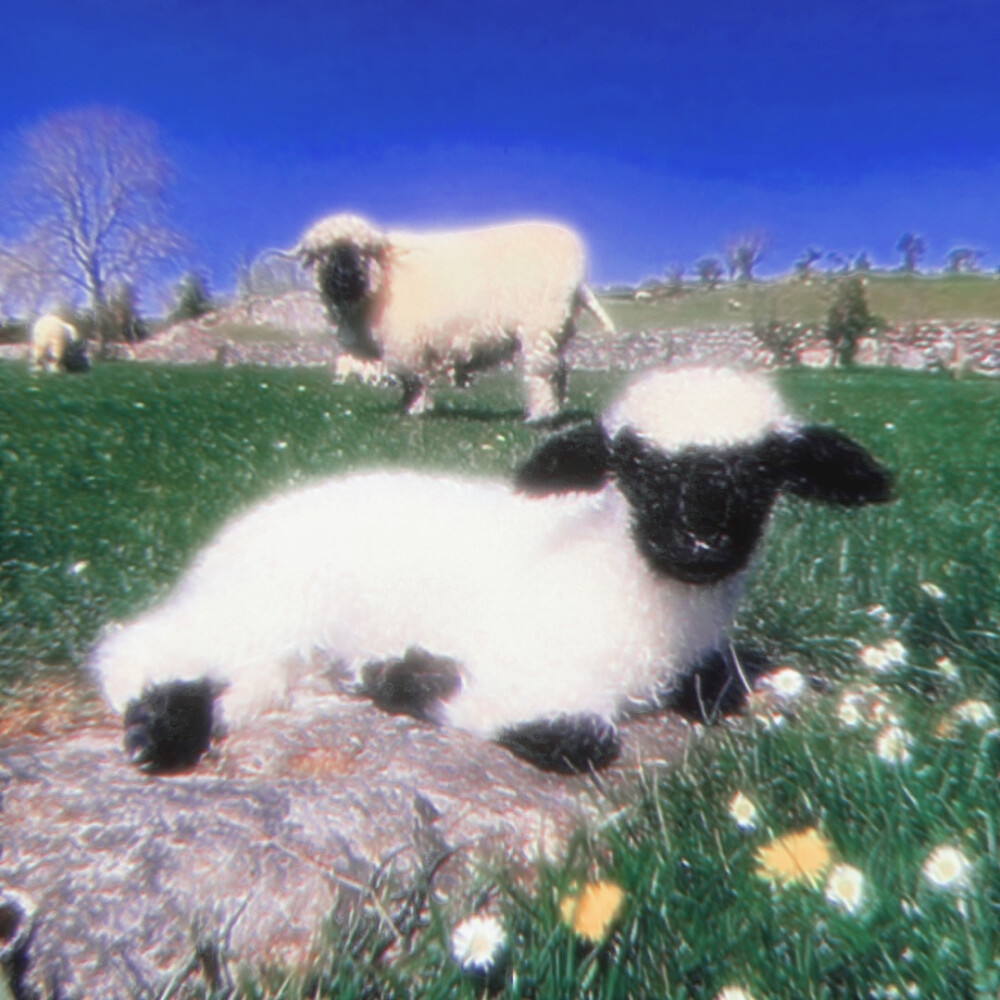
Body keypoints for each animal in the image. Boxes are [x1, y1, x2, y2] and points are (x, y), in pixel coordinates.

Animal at [90, 368, 896, 772]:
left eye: (765, 473)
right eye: (632, 467)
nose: (700, 542)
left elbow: (716, 692)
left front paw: (393, 676)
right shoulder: (519, 660)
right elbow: (574, 736)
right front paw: (408, 679)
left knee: (252, 679)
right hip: (261, 602)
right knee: (135, 647)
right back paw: (162, 726)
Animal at [280, 213, 616, 420]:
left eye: (364, 252)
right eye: (321, 254)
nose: (343, 276)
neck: (381, 282)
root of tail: (578, 273)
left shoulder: (405, 342)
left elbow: (412, 379)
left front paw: (413, 410)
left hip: (540, 326)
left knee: (542, 374)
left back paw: (539, 416)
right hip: (554, 329)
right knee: (559, 371)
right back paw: (554, 412)